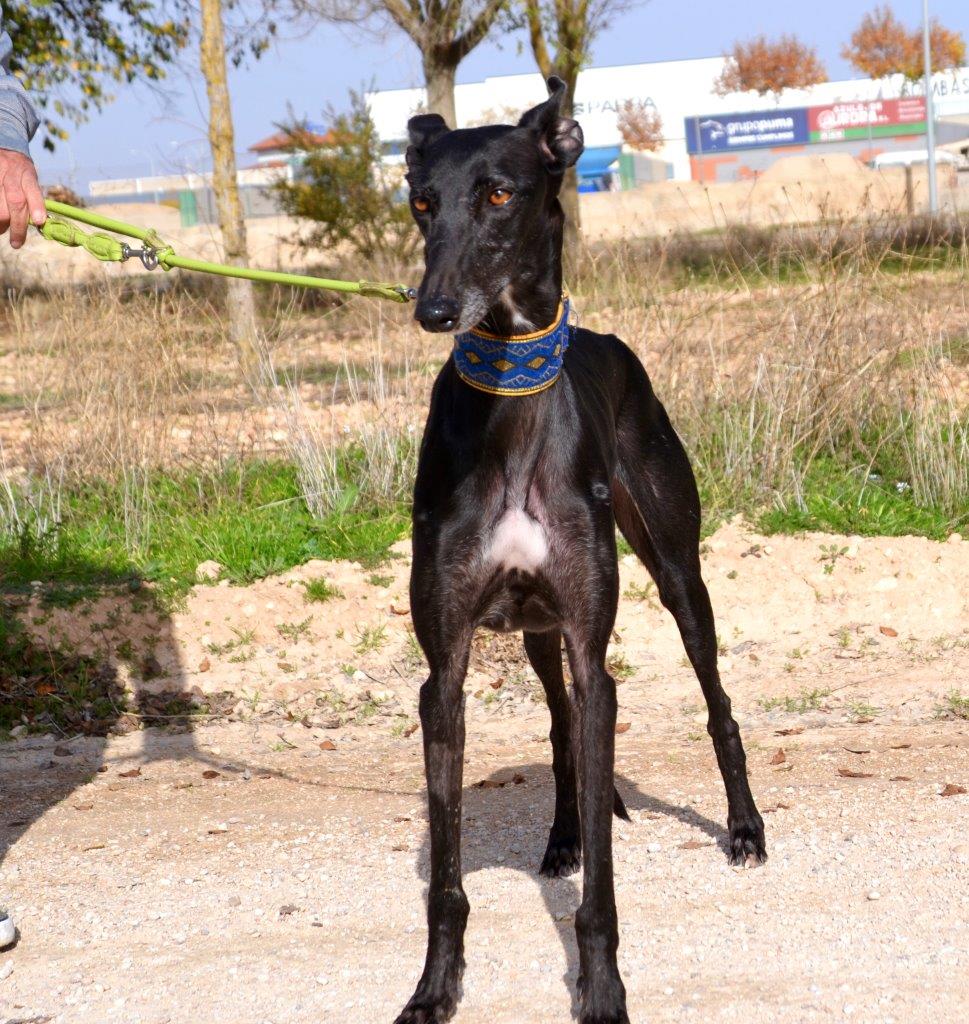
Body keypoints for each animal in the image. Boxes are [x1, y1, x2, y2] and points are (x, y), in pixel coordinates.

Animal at [393, 75, 762, 1019]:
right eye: (420, 202)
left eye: (498, 194)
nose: (433, 310)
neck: (512, 407)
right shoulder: (444, 671)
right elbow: (445, 881)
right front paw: (435, 986)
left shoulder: (598, 661)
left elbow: (603, 889)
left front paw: (601, 990)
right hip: (534, 630)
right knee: (559, 732)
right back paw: (561, 836)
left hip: (676, 572)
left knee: (717, 701)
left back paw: (744, 827)